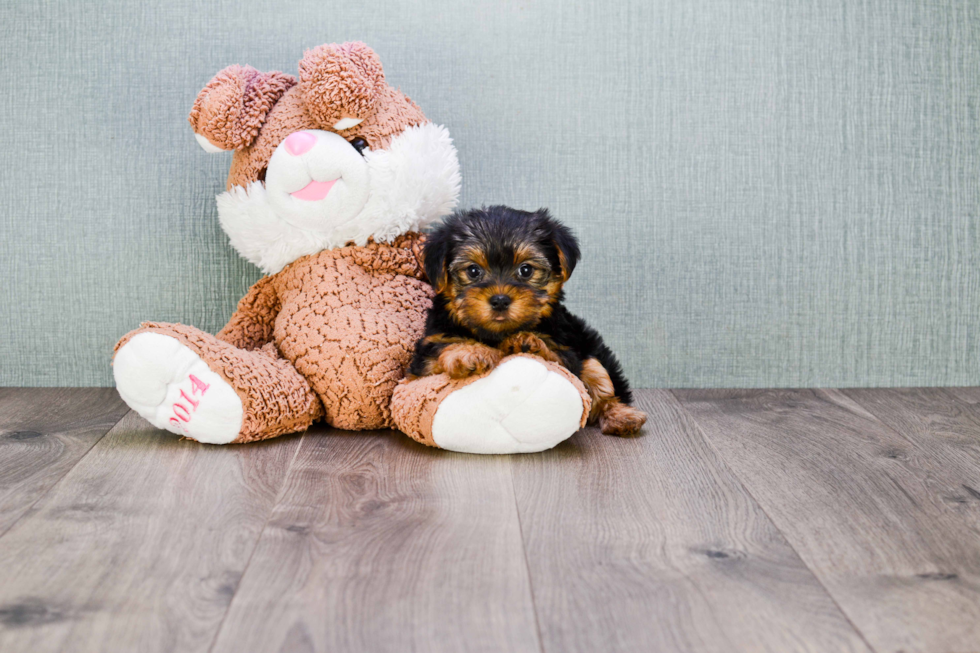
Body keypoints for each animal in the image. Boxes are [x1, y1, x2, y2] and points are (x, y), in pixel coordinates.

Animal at [410, 206, 648, 436]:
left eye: (526, 270)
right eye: (473, 270)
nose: (500, 300)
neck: (497, 334)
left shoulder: (567, 350)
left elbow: (558, 356)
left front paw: (528, 341)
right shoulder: (425, 355)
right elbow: (442, 348)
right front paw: (470, 352)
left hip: (590, 352)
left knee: (602, 381)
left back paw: (622, 417)